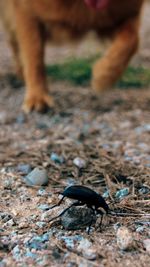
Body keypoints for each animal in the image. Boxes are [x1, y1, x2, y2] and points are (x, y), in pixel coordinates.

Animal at [0, 0, 144, 112]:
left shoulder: (121, 15)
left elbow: (131, 41)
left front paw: (104, 76)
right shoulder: (25, 10)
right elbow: (34, 57)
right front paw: (37, 97)